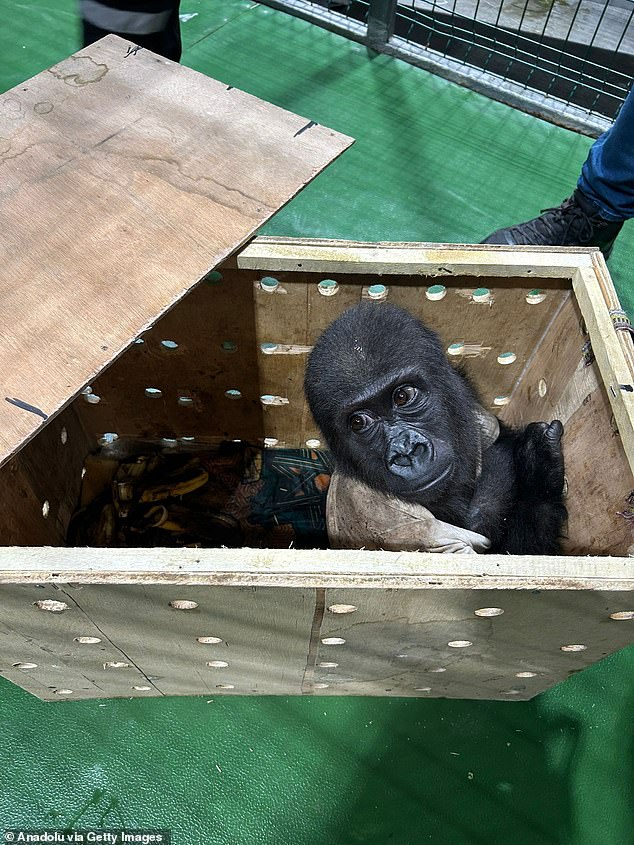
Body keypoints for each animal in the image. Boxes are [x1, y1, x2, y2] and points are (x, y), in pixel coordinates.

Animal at [304, 304, 564, 552]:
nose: (406, 451)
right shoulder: (395, 522)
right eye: (359, 422)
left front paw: (537, 467)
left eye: (402, 396)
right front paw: (537, 473)